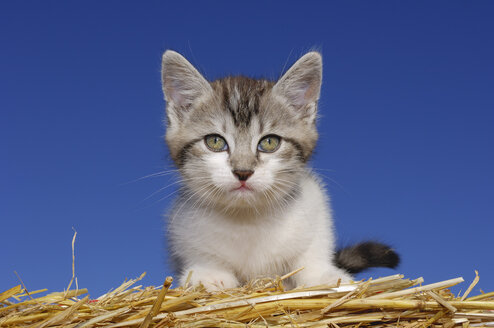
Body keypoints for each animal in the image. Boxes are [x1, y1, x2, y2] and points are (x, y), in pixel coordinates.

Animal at [160, 50, 400, 290]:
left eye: (269, 143)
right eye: (215, 142)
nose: (243, 172)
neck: (247, 219)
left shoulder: (315, 205)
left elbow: (311, 253)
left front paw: (324, 276)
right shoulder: (183, 228)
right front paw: (209, 275)